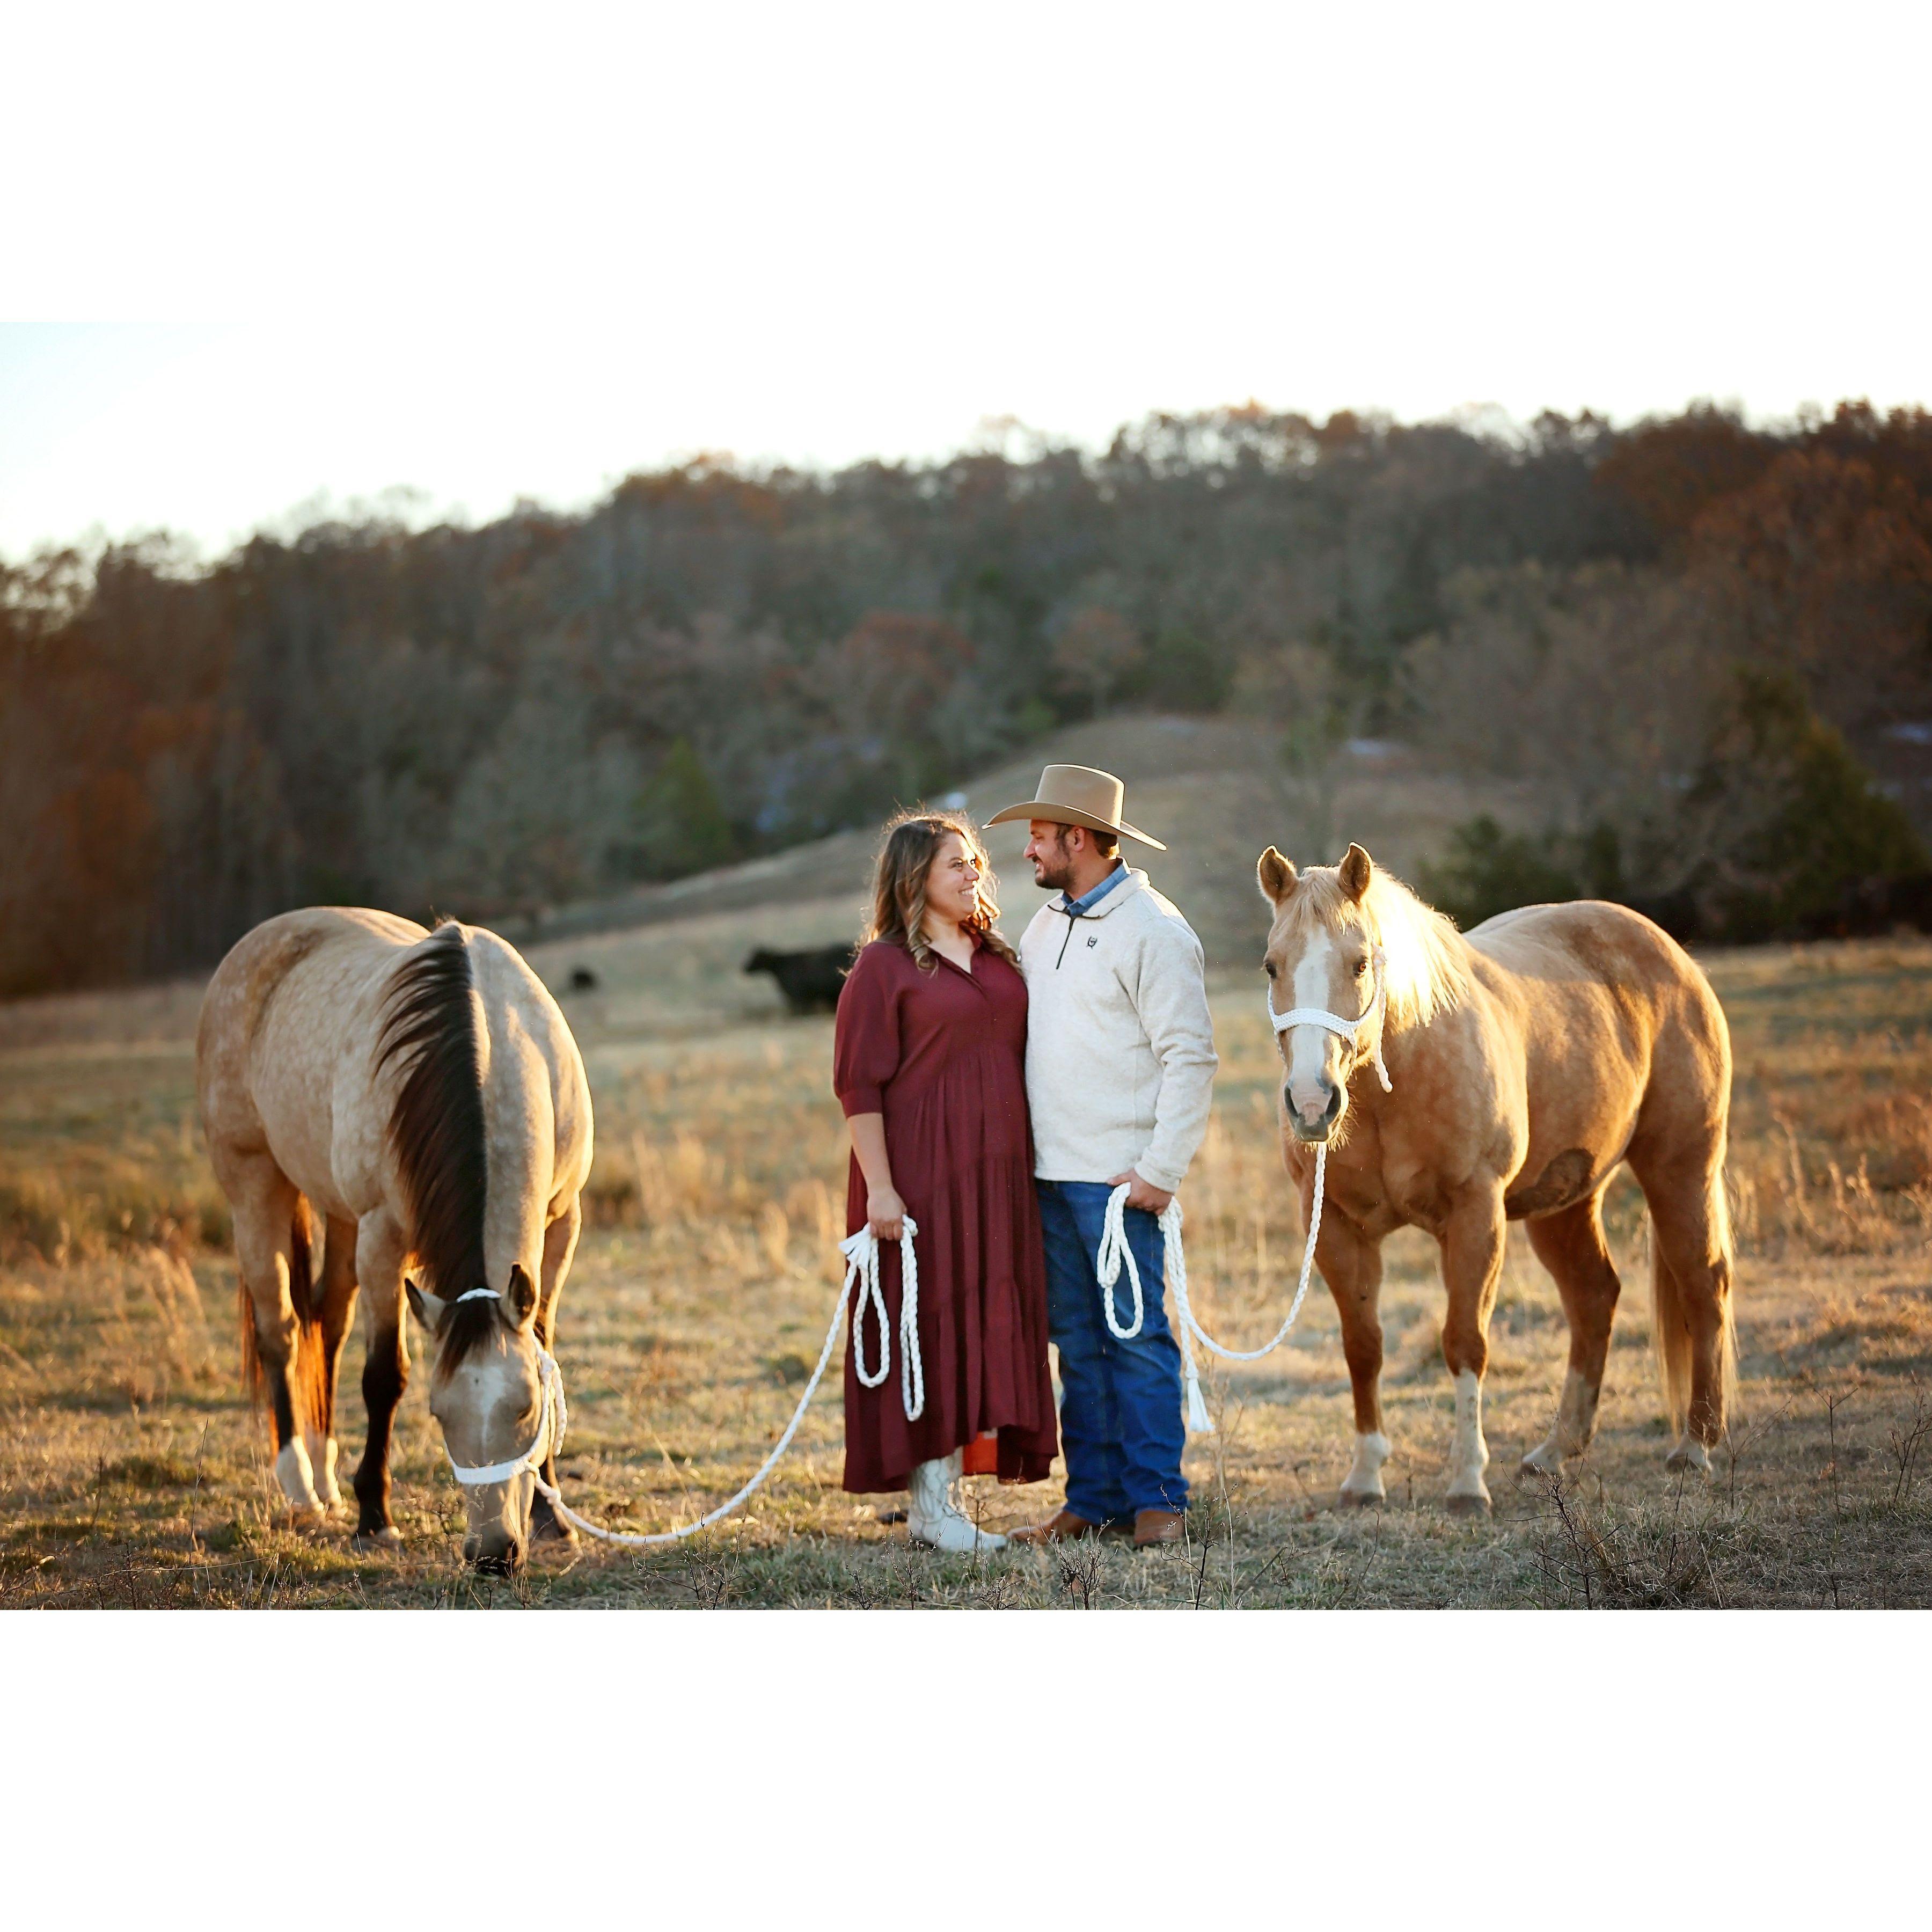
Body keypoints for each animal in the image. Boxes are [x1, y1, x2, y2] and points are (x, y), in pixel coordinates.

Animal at [197, 908, 591, 1569]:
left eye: (526, 1408)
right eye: (439, 1413)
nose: (492, 1555)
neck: (494, 1047)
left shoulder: (562, 1223)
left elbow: (543, 1349)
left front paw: (551, 1518)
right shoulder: (382, 1235)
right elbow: (385, 1377)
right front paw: (375, 1519)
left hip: (338, 1216)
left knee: (327, 1323)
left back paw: (326, 1473)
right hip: (255, 1184)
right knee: (281, 1331)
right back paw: (301, 1485)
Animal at [1252, 846, 1739, 1507]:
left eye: (1359, 964)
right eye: (1272, 965)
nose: (1310, 1102)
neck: (1396, 1081)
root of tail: (1674, 956)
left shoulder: (1474, 1215)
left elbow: (1465, 1342)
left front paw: (1466, 1482)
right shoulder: (1335, 1228)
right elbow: (1363, 1347)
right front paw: (1366, 1475)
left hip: (1681, 1170)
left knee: (1703, 1285)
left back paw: (1695, 1445)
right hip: (1565, 1204)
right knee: (1594, 1297)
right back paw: (1555, 1451)